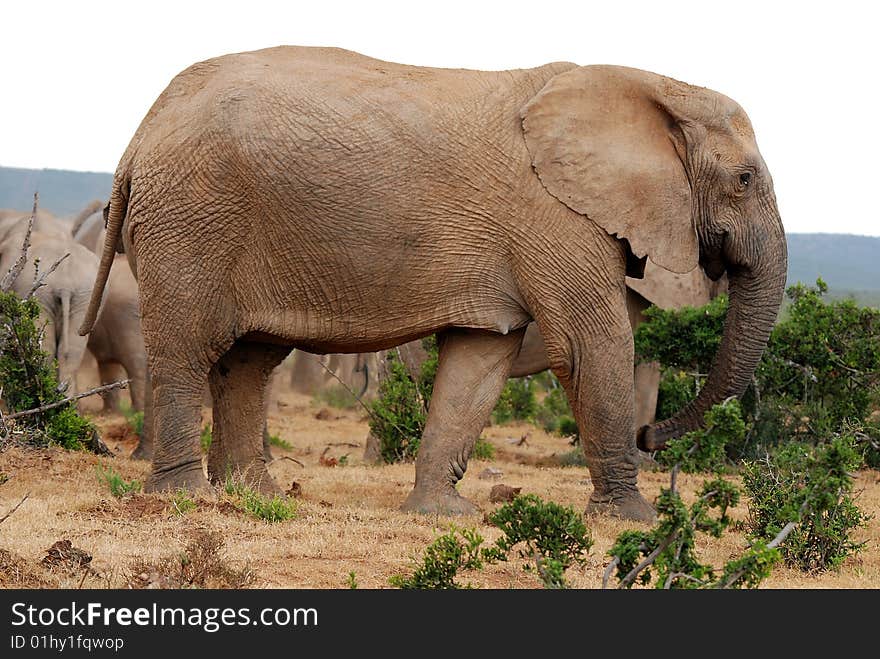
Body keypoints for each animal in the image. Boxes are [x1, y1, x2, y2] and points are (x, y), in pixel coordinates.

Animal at [79, 46, 788, 524]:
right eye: (746, 179)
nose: (652, 437)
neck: (658, 86)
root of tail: (139, 136)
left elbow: (479, 362)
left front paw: (443, 514)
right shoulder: (554, 214)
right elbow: (592, 344)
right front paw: (637, 520)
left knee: (248, 361)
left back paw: (255, 495)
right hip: (192, 219)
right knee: (188, 349)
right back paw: (186, 497)